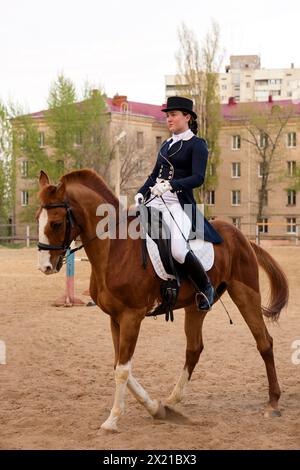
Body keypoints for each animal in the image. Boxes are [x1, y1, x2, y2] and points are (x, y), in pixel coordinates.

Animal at [37, 169, 288, 434]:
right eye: (37, 218)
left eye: (56, 223)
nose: (45, 267)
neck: (115, 249)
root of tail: (241, 236)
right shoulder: (115, 318)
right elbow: (119, 366)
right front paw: (156, 408)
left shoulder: (132, 316)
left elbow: (122, 371)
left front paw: (112, 420)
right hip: (196, 306)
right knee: (194, 348)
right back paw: (171, 401)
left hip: (245, 294)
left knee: (264, 342)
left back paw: (273, 403)